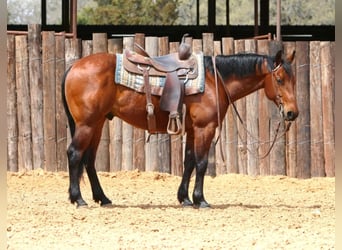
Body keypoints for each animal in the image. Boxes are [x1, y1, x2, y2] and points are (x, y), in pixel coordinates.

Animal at [62, 48, 298, 207]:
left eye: (294, 80)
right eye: (279, 79)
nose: (292, 113)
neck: (213, 80)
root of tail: (74, 66)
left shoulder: (193, 130)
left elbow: (189, 162)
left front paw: (184, 198)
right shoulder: (205, 128)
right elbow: (201, 163)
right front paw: (200, 200)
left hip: (97, 123)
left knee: (89, 160)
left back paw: (102, 198)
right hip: (87, 124)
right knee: (75, 154)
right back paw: (78, 198)